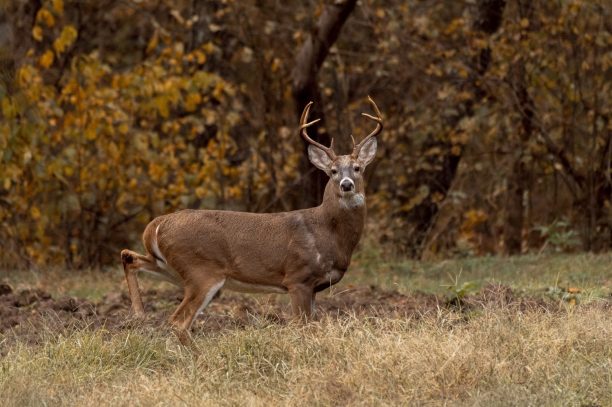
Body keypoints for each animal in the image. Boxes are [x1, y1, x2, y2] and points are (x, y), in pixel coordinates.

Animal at [119, 95, 382, 344]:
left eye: (357, 168)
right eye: (333, 171)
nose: (346, 185)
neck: (328, 232)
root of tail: (156, 225)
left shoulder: (314, 287)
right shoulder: (297, 278)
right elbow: (302, 328)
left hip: (171, 267)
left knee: (129, 256)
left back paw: (139, 314)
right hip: (201, 270)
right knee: (178, 321)